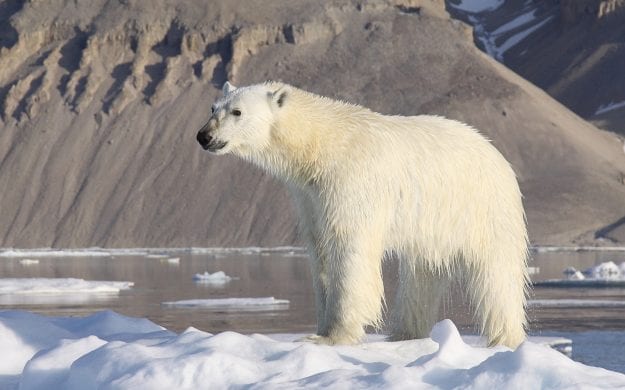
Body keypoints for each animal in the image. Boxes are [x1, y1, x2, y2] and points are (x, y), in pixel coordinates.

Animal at [195, 81, 528, 348]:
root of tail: (495, 153)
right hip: (434, 224)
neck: (320, 145)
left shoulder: (349, 183)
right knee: (422, 275)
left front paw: (333, 336)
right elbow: (321, 252)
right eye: (213, 107)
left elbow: (349, 252)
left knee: (497, 274)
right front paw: (319, 329)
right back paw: (404, 334)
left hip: (483, 207)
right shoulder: (309, 197)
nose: (203, 136)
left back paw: (505, 338)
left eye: (237, 112)